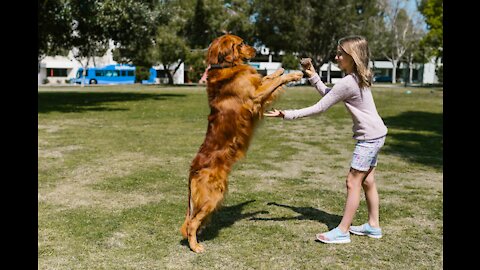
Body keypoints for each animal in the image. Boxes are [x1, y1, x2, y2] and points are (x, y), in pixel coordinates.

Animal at [180, 34, 304, 253]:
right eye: (242, 43)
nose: (257, 51)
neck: (225, 66)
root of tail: (193, 169)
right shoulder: (255, 96)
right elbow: (275, 81)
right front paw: (293, 74)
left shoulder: (258, 90)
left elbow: (268, 78)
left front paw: (280, 69)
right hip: (213, 196)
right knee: (192, 223)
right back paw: (195, 246)